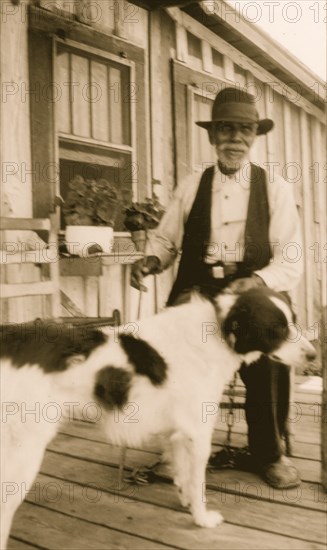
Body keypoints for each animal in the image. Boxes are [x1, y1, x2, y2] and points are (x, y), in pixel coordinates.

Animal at [1, 288, 316, 548]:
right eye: (277, 329)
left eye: (294, 320)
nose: (314, 355)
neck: (217, 331)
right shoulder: (197, 432)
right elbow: (197, 481)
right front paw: (201, 518)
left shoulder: (178, 433)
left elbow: (183, 475)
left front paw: (186, 501)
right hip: (24, 453)